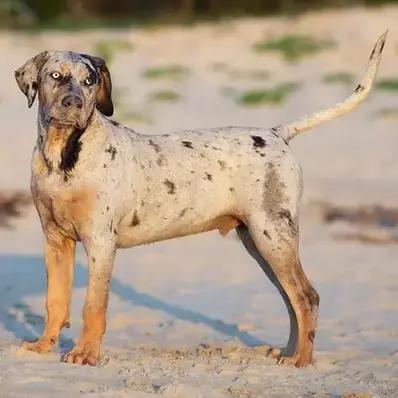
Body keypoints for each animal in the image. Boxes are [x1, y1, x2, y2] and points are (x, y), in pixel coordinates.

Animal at [14, 31, 386, 366]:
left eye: (89, 81)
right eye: (56, 76)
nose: (74, 104)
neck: (63, 155)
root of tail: (276, 134)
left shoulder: (101, 242)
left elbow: (93, 306)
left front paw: (85, 355)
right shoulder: (55, 241)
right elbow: (55, 300)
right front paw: (43, 346)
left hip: (273, 237)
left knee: (307, 297)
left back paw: (302, 360)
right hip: (260, 243)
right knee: (291, 298)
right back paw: (289, 352)